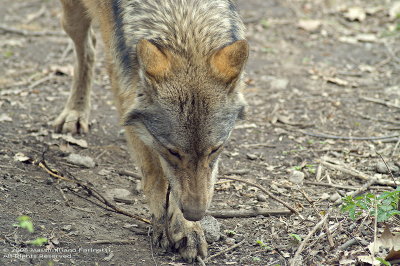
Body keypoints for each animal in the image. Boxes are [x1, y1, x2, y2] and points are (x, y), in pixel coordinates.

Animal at [54, 0, 248, 262]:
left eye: (215, 150)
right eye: (172, 152)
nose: (195, 214)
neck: (182, 18)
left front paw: (187, 228)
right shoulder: (125, 91)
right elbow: (154, 173)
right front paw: (167, 223)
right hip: (72, 18)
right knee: (87, 46)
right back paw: (75, 111)